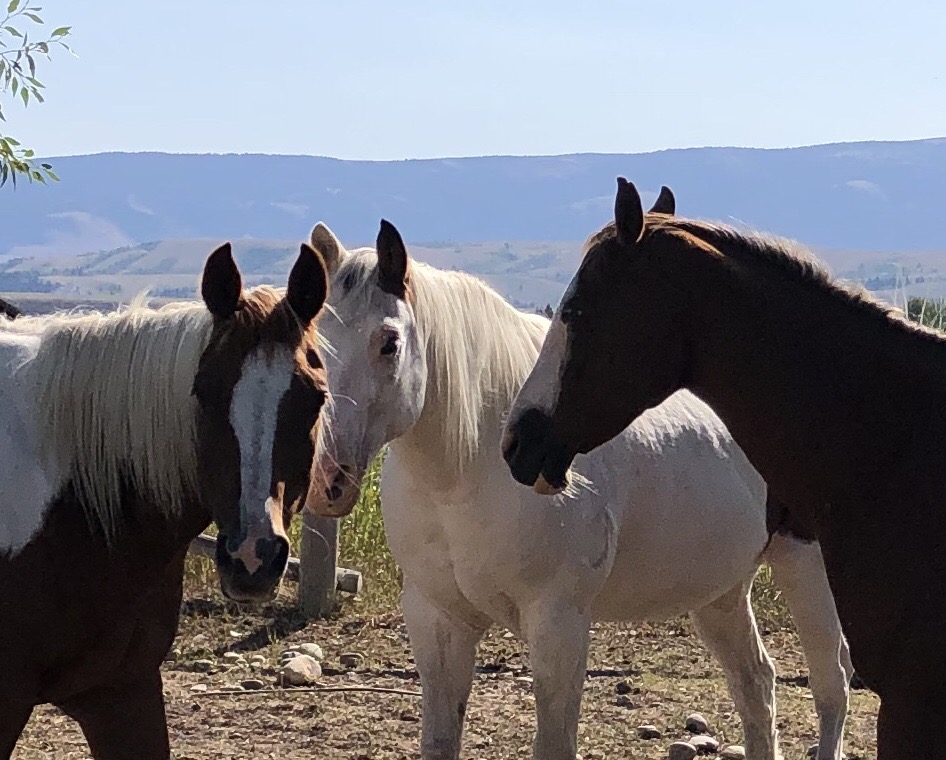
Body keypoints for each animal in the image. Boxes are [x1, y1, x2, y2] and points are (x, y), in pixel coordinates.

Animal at [306, 218, 852, 760]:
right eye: (312, 340)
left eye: (388, 343)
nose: (325, 475)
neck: (468, 471)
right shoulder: (437, 620)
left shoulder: (558, 624)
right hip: (722, 591)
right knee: (756, 683)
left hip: (806, 567)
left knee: (832, 683)